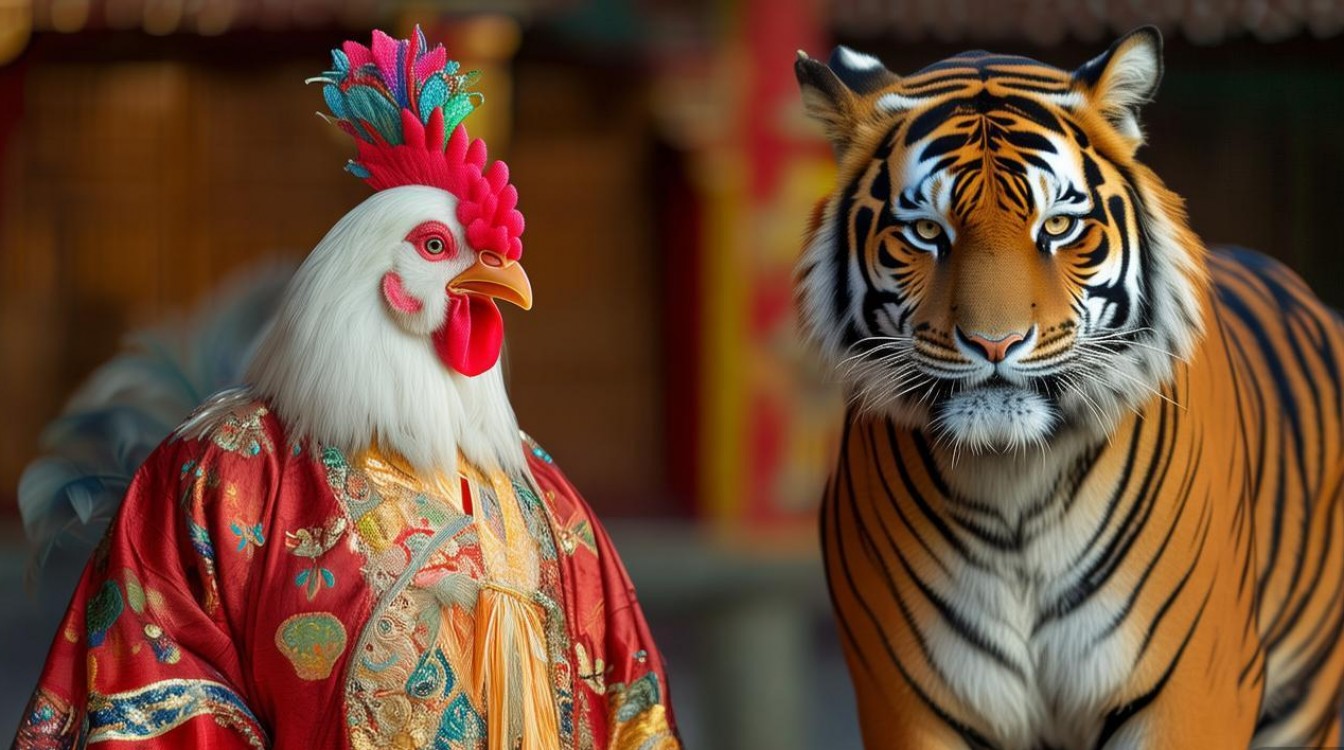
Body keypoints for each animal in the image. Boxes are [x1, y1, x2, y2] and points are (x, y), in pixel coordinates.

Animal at [794, 26, 1344, 750]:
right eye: (926, 231)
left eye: (1057, 226)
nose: (994, 344)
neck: (1013, 486)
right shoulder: (908, 702)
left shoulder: (1190, 694)